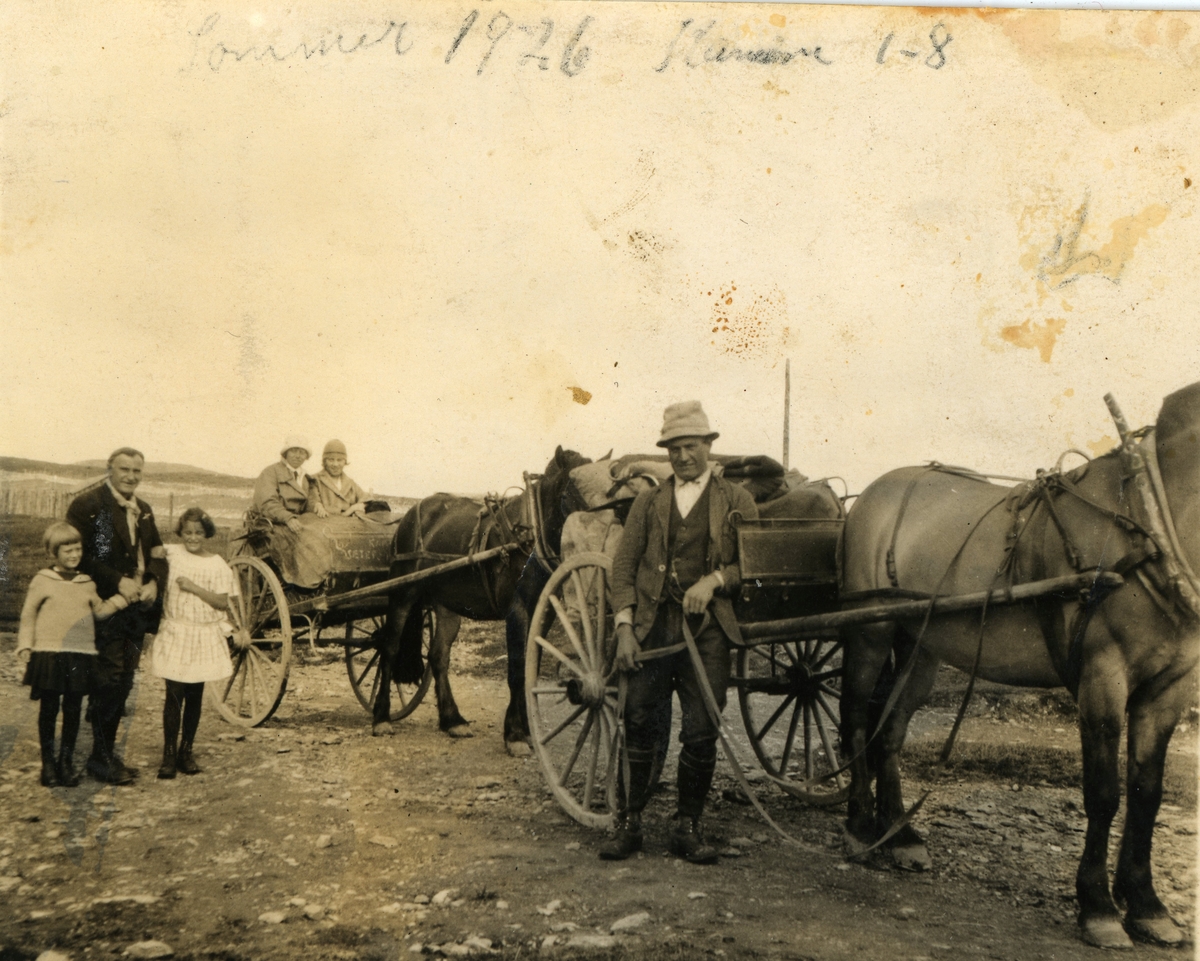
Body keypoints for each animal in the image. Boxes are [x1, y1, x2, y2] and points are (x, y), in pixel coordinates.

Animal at [367, 448, 588, 743]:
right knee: (389, 648)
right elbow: (517, 669)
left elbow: (532, 666)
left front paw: (526, 728)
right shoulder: (517, 609)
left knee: (438, 656)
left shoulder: (545, 612)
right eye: (570, 493)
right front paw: (515, 733)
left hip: (446, 604)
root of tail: (410, 517)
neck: (530, 535)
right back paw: (381, 717)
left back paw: (453, 720)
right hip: (403, 594)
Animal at [840, 381, 1195, 945]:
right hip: (870, 632)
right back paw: (857, 827)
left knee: (890, 730)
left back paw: (899, 834)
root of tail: (874, 493)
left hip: (921, 644)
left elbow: (1147, 793)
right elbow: (1103, 793)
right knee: (856, 717)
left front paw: (1146, 905)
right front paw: (1098, 908)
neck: (1151, 524)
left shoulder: (1171, 689)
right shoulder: (1102, 677)